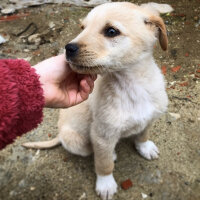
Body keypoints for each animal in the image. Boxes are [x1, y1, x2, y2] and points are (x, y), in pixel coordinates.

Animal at [23, 2, 173, 199]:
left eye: (111, 31)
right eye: (82, 28)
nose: (68, 48)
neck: (133, 88)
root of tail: (59, 135)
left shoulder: (149, 118)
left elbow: (143, 134)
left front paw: (145, 147)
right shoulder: (102, 135)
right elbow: (103, 164)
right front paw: (106, 183)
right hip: (78, 141)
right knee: (95, 152)